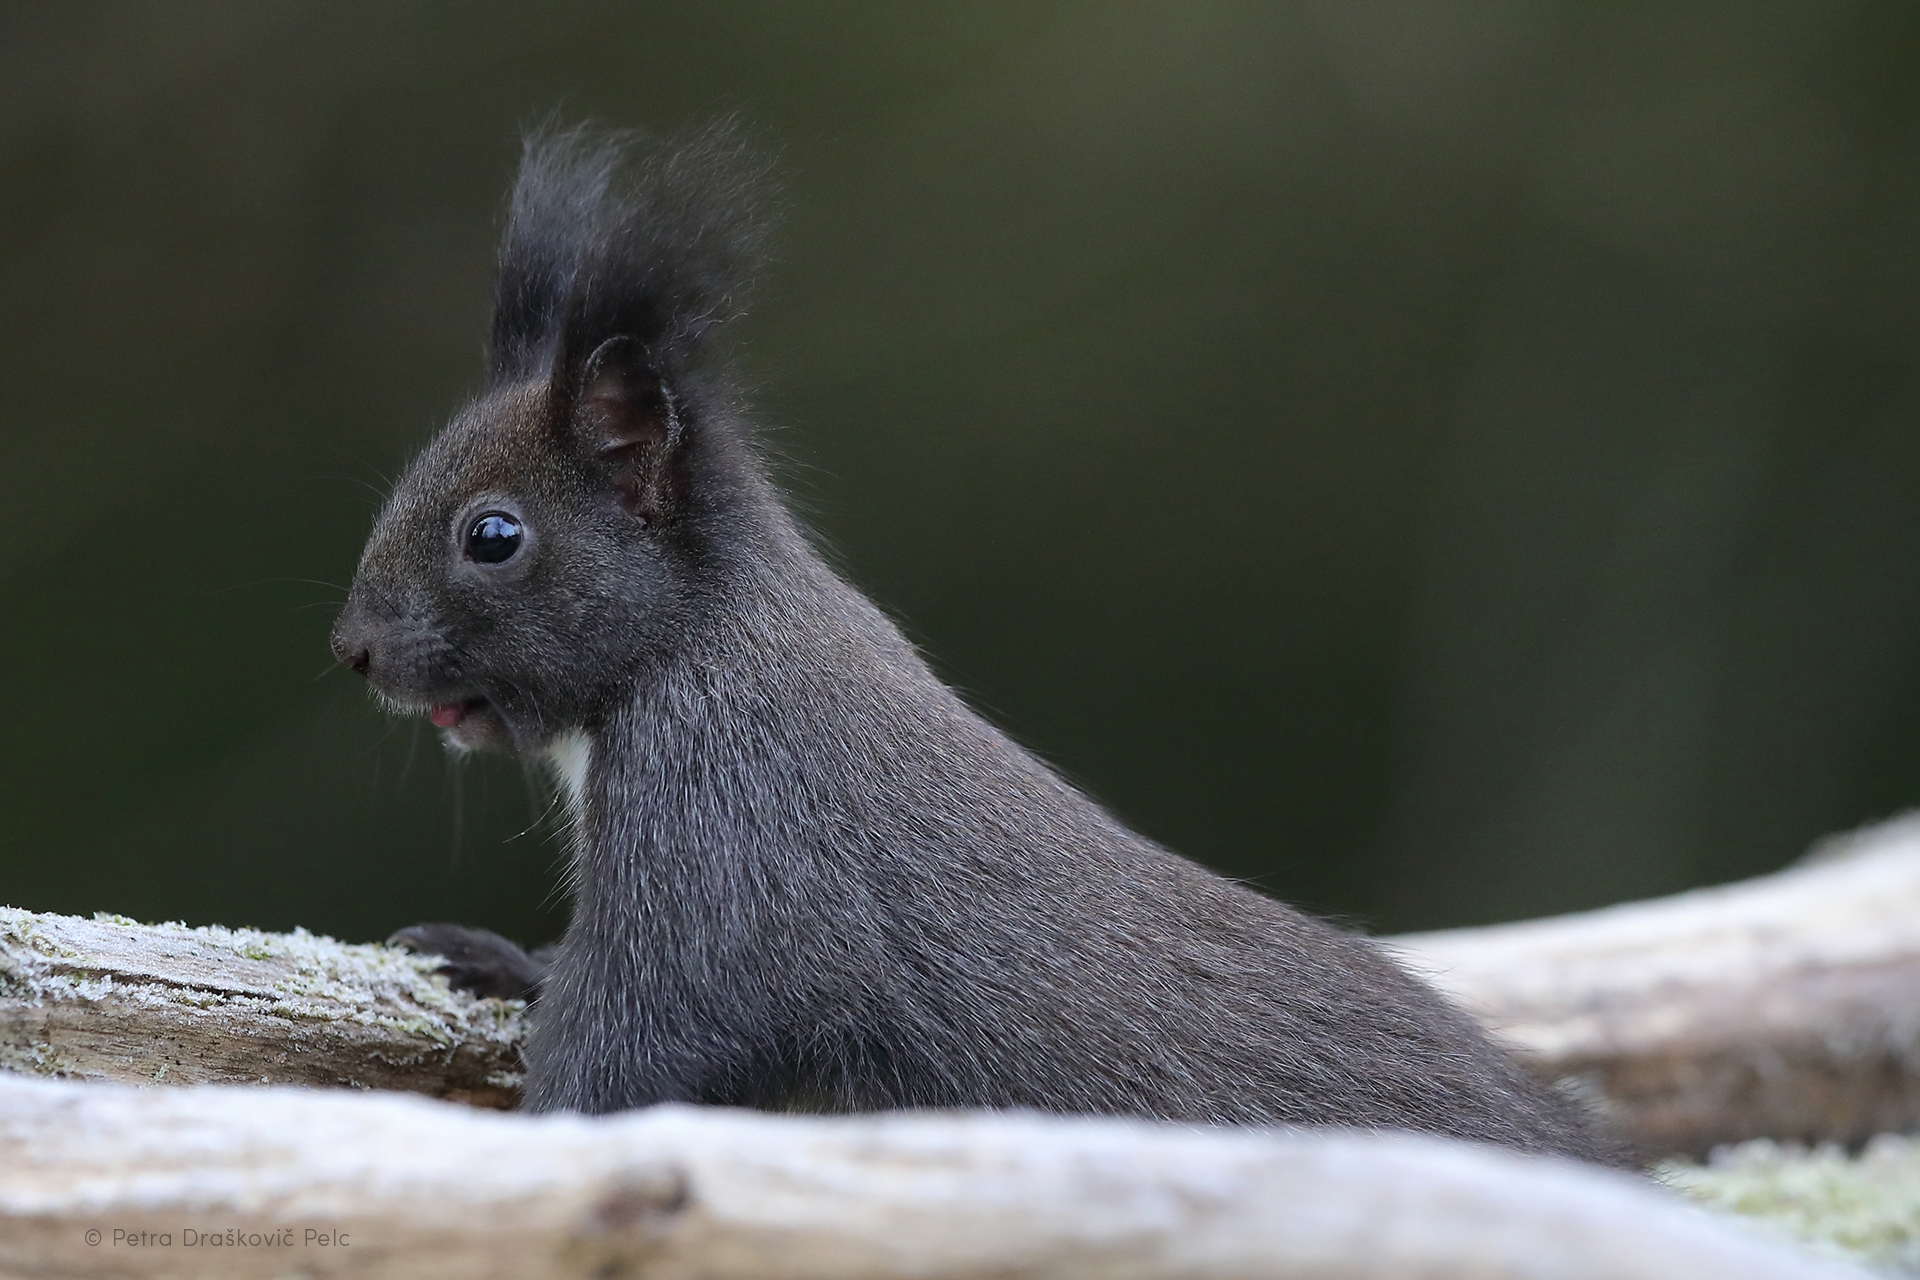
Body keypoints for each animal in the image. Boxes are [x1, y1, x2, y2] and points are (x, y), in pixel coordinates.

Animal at [334, 122, 1620, 1159]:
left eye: (493, 535)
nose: (353, 650)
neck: (692, 640)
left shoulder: (725, 839)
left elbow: (628, 1053)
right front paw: (497, 958)